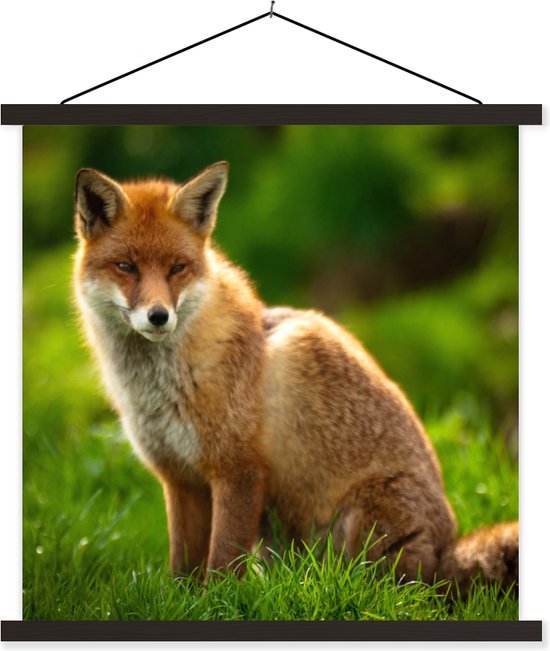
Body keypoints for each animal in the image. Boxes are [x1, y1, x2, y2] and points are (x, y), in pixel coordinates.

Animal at [73, 161, 518, 595]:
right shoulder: (180, 479)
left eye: (177, 269)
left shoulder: (239, 470)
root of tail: (445, 552)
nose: (159, 316)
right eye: (126, 267)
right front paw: (181, 600)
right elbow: (182, 567)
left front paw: (217, 602)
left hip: (359, 527)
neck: (160, 389)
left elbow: (222, 563)